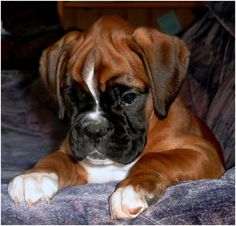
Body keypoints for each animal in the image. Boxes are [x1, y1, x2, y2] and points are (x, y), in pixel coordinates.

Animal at [7, 16, 225, 221]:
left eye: (128, 98)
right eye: (71, 96)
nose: (93, 129)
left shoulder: (202, 151)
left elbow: (155, 157)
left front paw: (132, 188)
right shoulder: (72, 154)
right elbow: (56, 158)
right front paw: (35, 174)